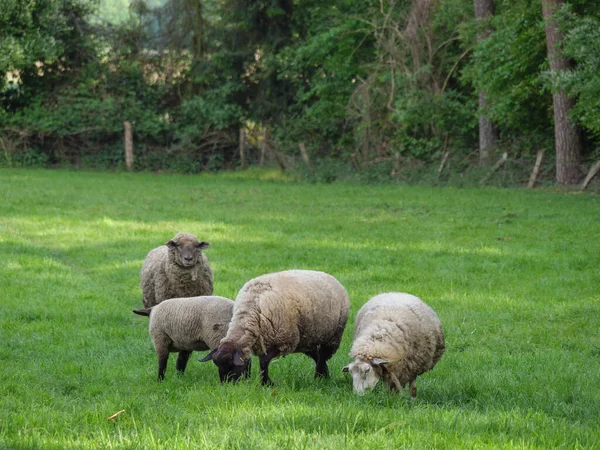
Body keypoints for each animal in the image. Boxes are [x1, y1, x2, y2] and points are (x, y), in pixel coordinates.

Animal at [203, 268, 352, 384]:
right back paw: (324, 375)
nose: (227, 385)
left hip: (333, 335)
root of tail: (329, 276)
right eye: (217, 365)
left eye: (231, 365)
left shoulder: (283, 341)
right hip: (308, 338)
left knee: (322, 356)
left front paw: (266, 383)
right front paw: (265, 382)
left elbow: (263, 362)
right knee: (317, 355)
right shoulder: (264, 341)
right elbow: (262, 362)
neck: (250, 312)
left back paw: (319, 377)